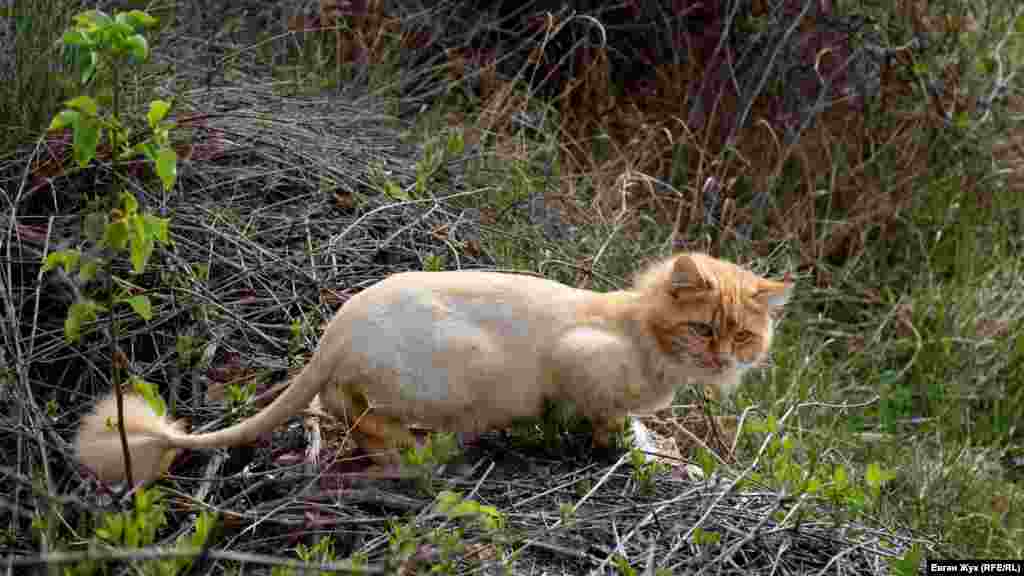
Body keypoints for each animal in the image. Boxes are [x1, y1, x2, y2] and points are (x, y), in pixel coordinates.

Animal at [75, 253, 790, 481]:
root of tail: (336, 329)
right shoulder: (578, 367)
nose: (723, 359)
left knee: (334, 412)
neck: (640, 329)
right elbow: (619, 428)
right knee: (365, 425)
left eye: (743, 336)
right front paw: (660, 460)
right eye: (703, 328)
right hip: (454, 375)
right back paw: (426, 456)